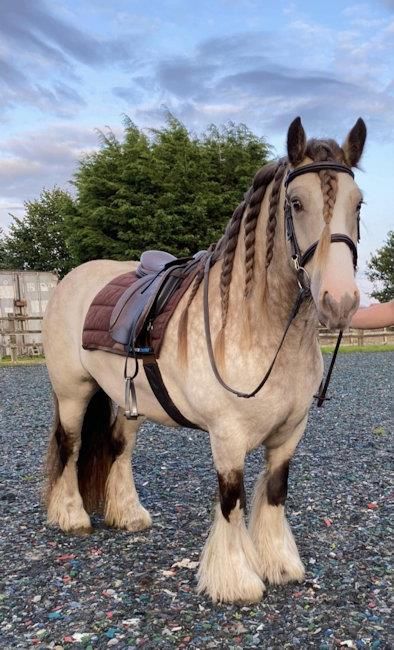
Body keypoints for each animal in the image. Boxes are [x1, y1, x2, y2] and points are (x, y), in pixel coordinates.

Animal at [42, 116, 366, 604]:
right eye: (296, 202)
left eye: (358, 203)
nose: (340, 300)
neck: (258, 327)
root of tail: (71, 279)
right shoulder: (227, 437)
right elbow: (231, 500)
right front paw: (236, 580)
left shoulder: (290, 434)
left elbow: (275, 492)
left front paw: (279, 565)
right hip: (73, 393)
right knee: (70, 444)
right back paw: (70, 516)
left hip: (129, 402)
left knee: (118, 447)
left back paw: (128, 514)